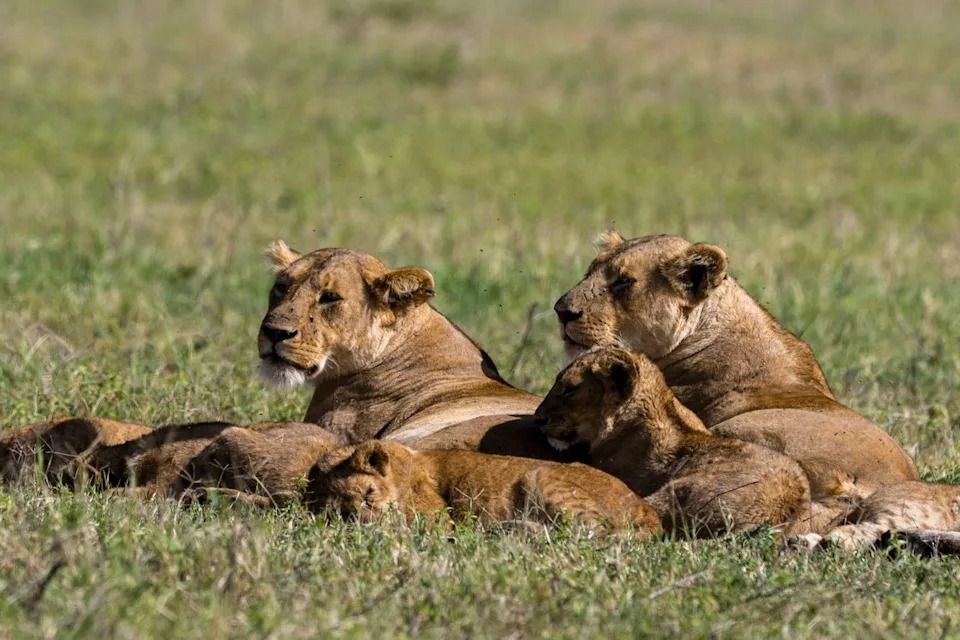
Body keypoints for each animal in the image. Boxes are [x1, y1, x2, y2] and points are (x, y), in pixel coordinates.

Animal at [303, 439, 662, 537]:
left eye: (369, 494)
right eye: (343, 513)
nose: (368, 523)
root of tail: (647, 509)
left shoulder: (437, 520)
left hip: (539, 476)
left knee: (590, 533)